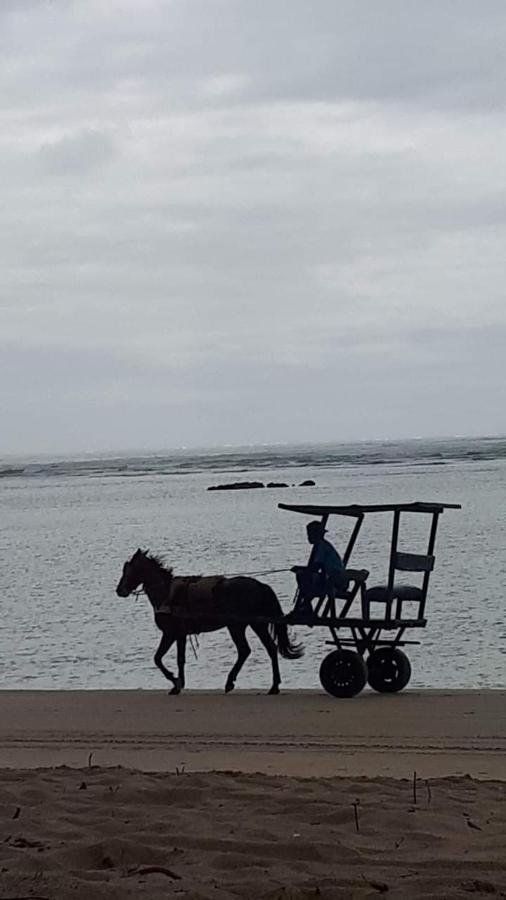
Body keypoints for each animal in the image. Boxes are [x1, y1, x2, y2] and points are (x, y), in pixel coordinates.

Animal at [115, 548, 304, 696]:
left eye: (128, 569)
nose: (119, 590)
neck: (167, 593)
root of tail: (259, 585)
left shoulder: (170, 633)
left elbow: (158, 658)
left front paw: (175, 682)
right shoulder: (180, 635)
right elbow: (179, 659)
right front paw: (179, 682)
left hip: (241, 626)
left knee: (251, 650)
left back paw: (243, 683)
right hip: (250, 624)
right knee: (264, 649)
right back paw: (269, 685)